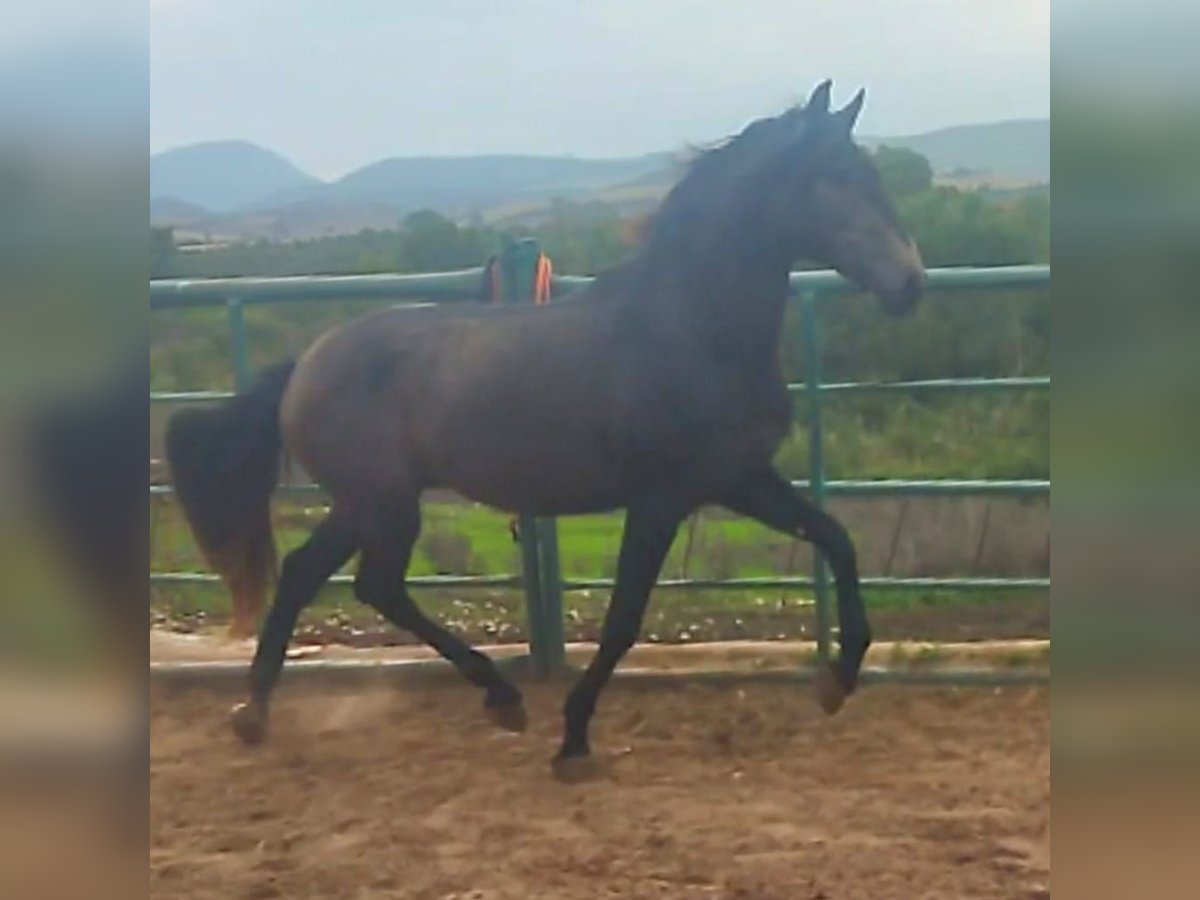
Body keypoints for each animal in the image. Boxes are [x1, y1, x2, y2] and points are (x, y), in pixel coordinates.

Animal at [164, 81, 921, 777]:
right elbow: (623, 619)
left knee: (309, 575)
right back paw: (496, 698)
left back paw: (258, 713)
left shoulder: (738, 479)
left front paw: (840, 677)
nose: (910, 284)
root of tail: (306, 364)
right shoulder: (660, 500)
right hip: (384, 503)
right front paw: (575, 739)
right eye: (838, 177)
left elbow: (837, 538)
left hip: (363, 504)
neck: (688, 330)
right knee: (372, 586)